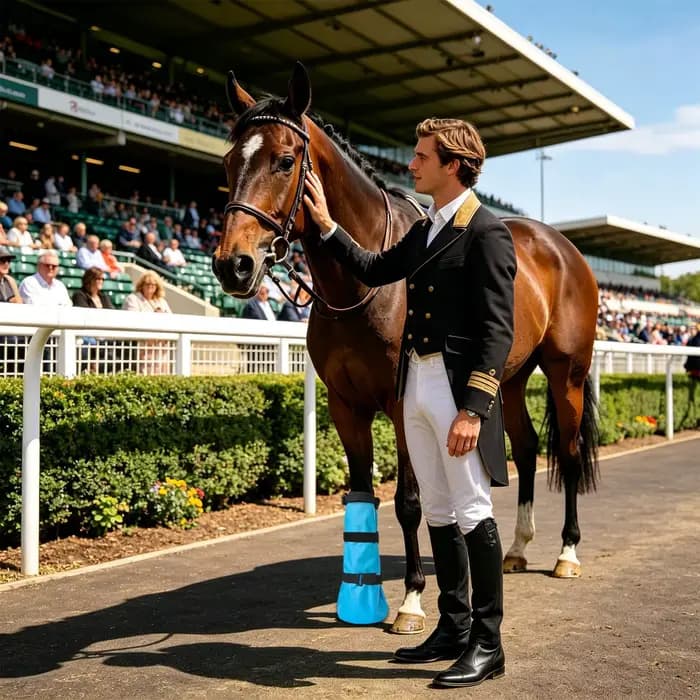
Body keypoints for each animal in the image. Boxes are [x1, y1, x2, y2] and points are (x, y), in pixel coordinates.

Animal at [212, 62, 600, 635]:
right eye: (228, 161)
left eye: (284, 161)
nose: (232, 265)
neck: (362, 285)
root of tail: (561, 247)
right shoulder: (345, 406)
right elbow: (362, 492)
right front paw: (360, 597)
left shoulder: (401, 405)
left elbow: (410, 501)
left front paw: (413, 600)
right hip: (505, 377)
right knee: (527, 449)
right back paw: (516, 548)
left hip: (565, 371)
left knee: (568, 454)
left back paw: (566, 553)